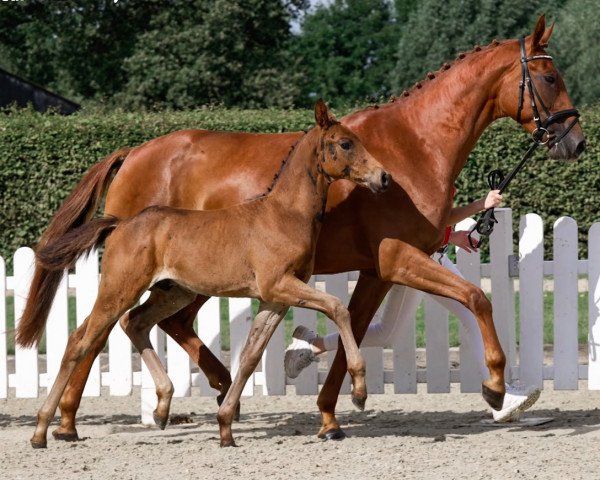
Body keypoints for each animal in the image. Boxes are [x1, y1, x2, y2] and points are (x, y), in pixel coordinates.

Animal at [27, 99, 390, 448]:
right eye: (345, 143)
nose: (384, 177)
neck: (282, 214)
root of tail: (121, 223)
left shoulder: (275, 299)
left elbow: (250, 357)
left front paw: (226, 427)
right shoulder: (281, 285)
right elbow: (338, 308)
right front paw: (359, 391)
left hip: (173, 292)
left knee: (135, 323)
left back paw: (161, 408)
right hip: (120, 289)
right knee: (81, 340)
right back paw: (43, 430)